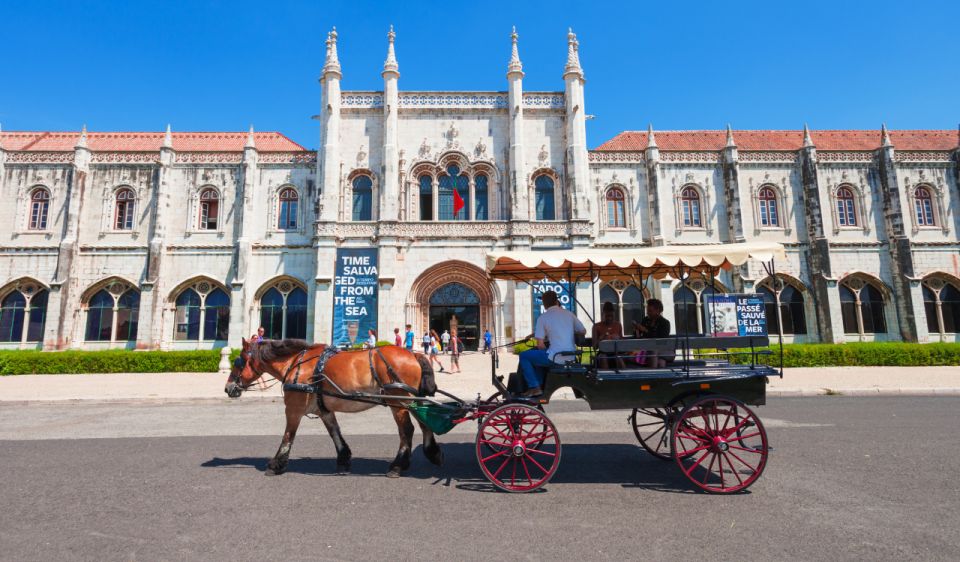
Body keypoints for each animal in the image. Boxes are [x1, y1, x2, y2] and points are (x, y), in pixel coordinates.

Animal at [227, 336, 444, 476]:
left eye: (238, 361)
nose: (228, 388)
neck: (296, 364)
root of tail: (414, 355)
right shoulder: (323, 409)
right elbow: (334, 432)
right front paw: (343, 459)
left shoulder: (294, 408)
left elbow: (288, 435)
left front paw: (276, 464)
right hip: (412, 399)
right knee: (424, 422)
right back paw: (432, 452)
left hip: (398, 401)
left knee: (407, 430)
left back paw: (398, 466)